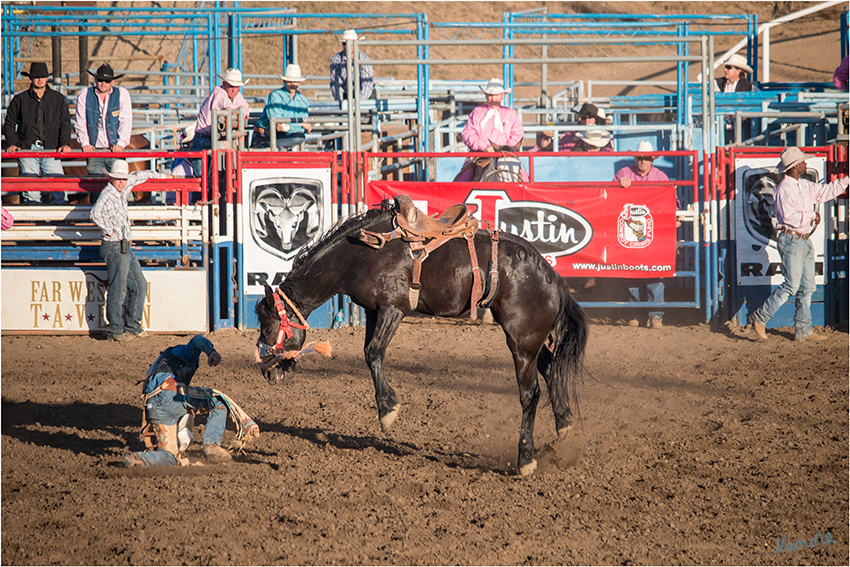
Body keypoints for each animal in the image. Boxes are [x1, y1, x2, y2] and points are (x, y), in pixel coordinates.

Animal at [252, 199, 584, 474]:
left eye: (267, 328)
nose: (266, 373)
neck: (359, 254)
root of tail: (554, 278)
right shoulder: (373, 311)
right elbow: (369, 352)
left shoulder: (393, 308)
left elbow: (373, 352)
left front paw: (388, 410)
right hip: (534, 339)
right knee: (552, 369)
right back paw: (562, 433)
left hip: (522, 341)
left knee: (530, 393)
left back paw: (526, 459)